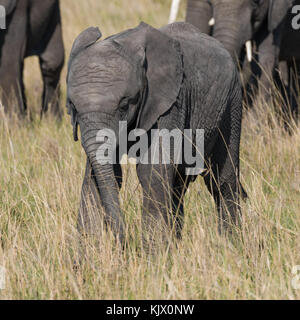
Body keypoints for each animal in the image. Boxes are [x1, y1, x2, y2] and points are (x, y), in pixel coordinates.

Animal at [66, 21, 246, 250]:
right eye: (73, 107)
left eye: (124, 105)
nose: (124, 244)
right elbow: (98, 176)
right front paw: (86, 256)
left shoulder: (170, 103)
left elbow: (151, 171)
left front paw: (153, 255)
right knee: (178, 185)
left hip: (232, 103)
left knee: (222, 179)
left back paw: (231, 245)